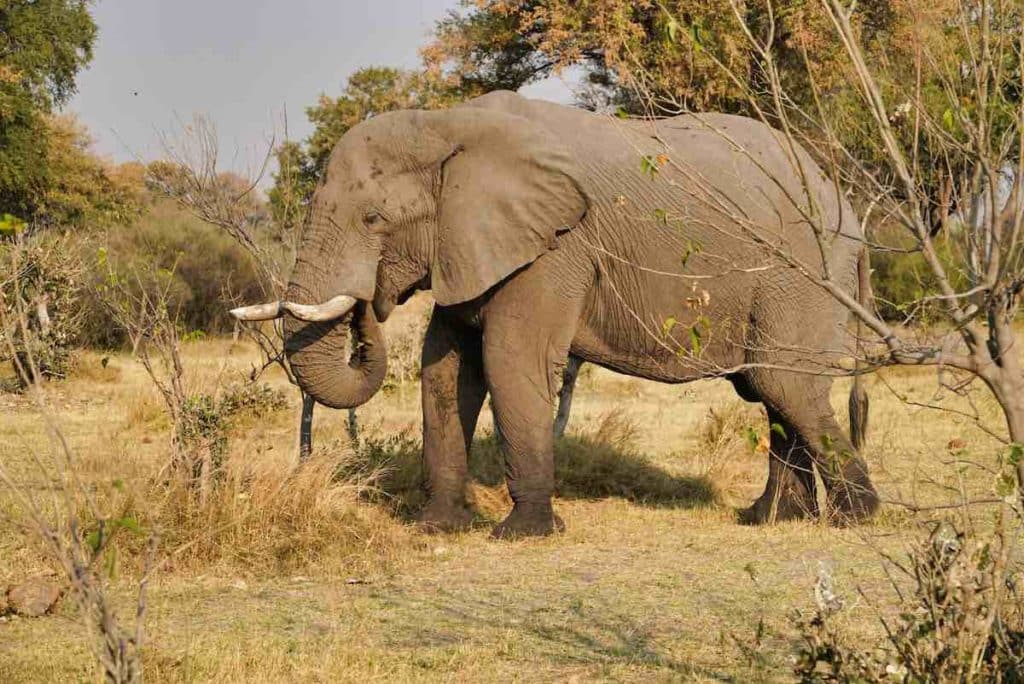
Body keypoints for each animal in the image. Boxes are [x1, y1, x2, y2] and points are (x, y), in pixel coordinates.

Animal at [232, 89, 880, 540]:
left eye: (373, 220)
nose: (369, 303)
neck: (448, 124)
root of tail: (845, 203)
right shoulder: (472, 243)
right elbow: (445, 372)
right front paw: (437, 526)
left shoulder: (554, 249)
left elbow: (508, 360)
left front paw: (522, 534)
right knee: (771, 391)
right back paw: (769, 520)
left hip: (801, 275)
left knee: (782, 383)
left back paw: (855, 519)